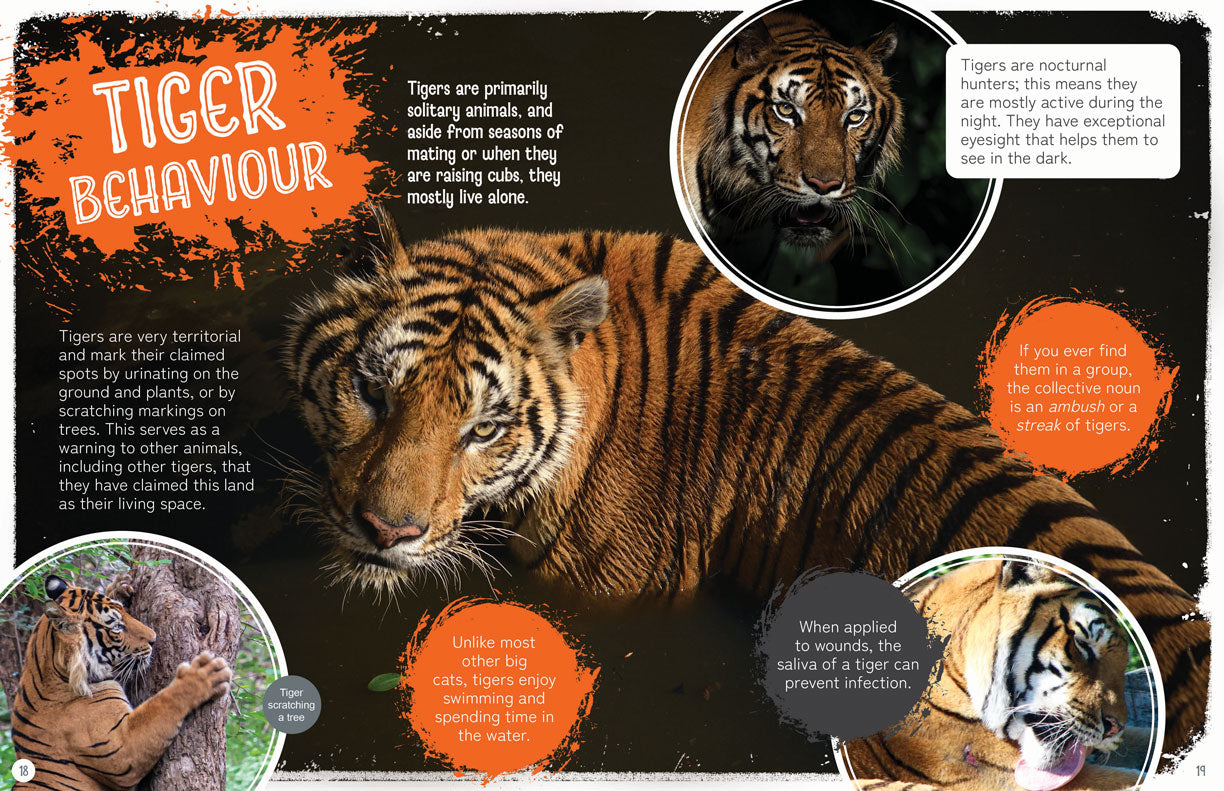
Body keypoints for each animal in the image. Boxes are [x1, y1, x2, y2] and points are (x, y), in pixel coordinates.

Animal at [10, 574, 233, 791]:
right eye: (116, 627)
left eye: (125, 613)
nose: (154, 638)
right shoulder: (121, 749)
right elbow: (162, 703)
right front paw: (204, 673)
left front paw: (119, 587)